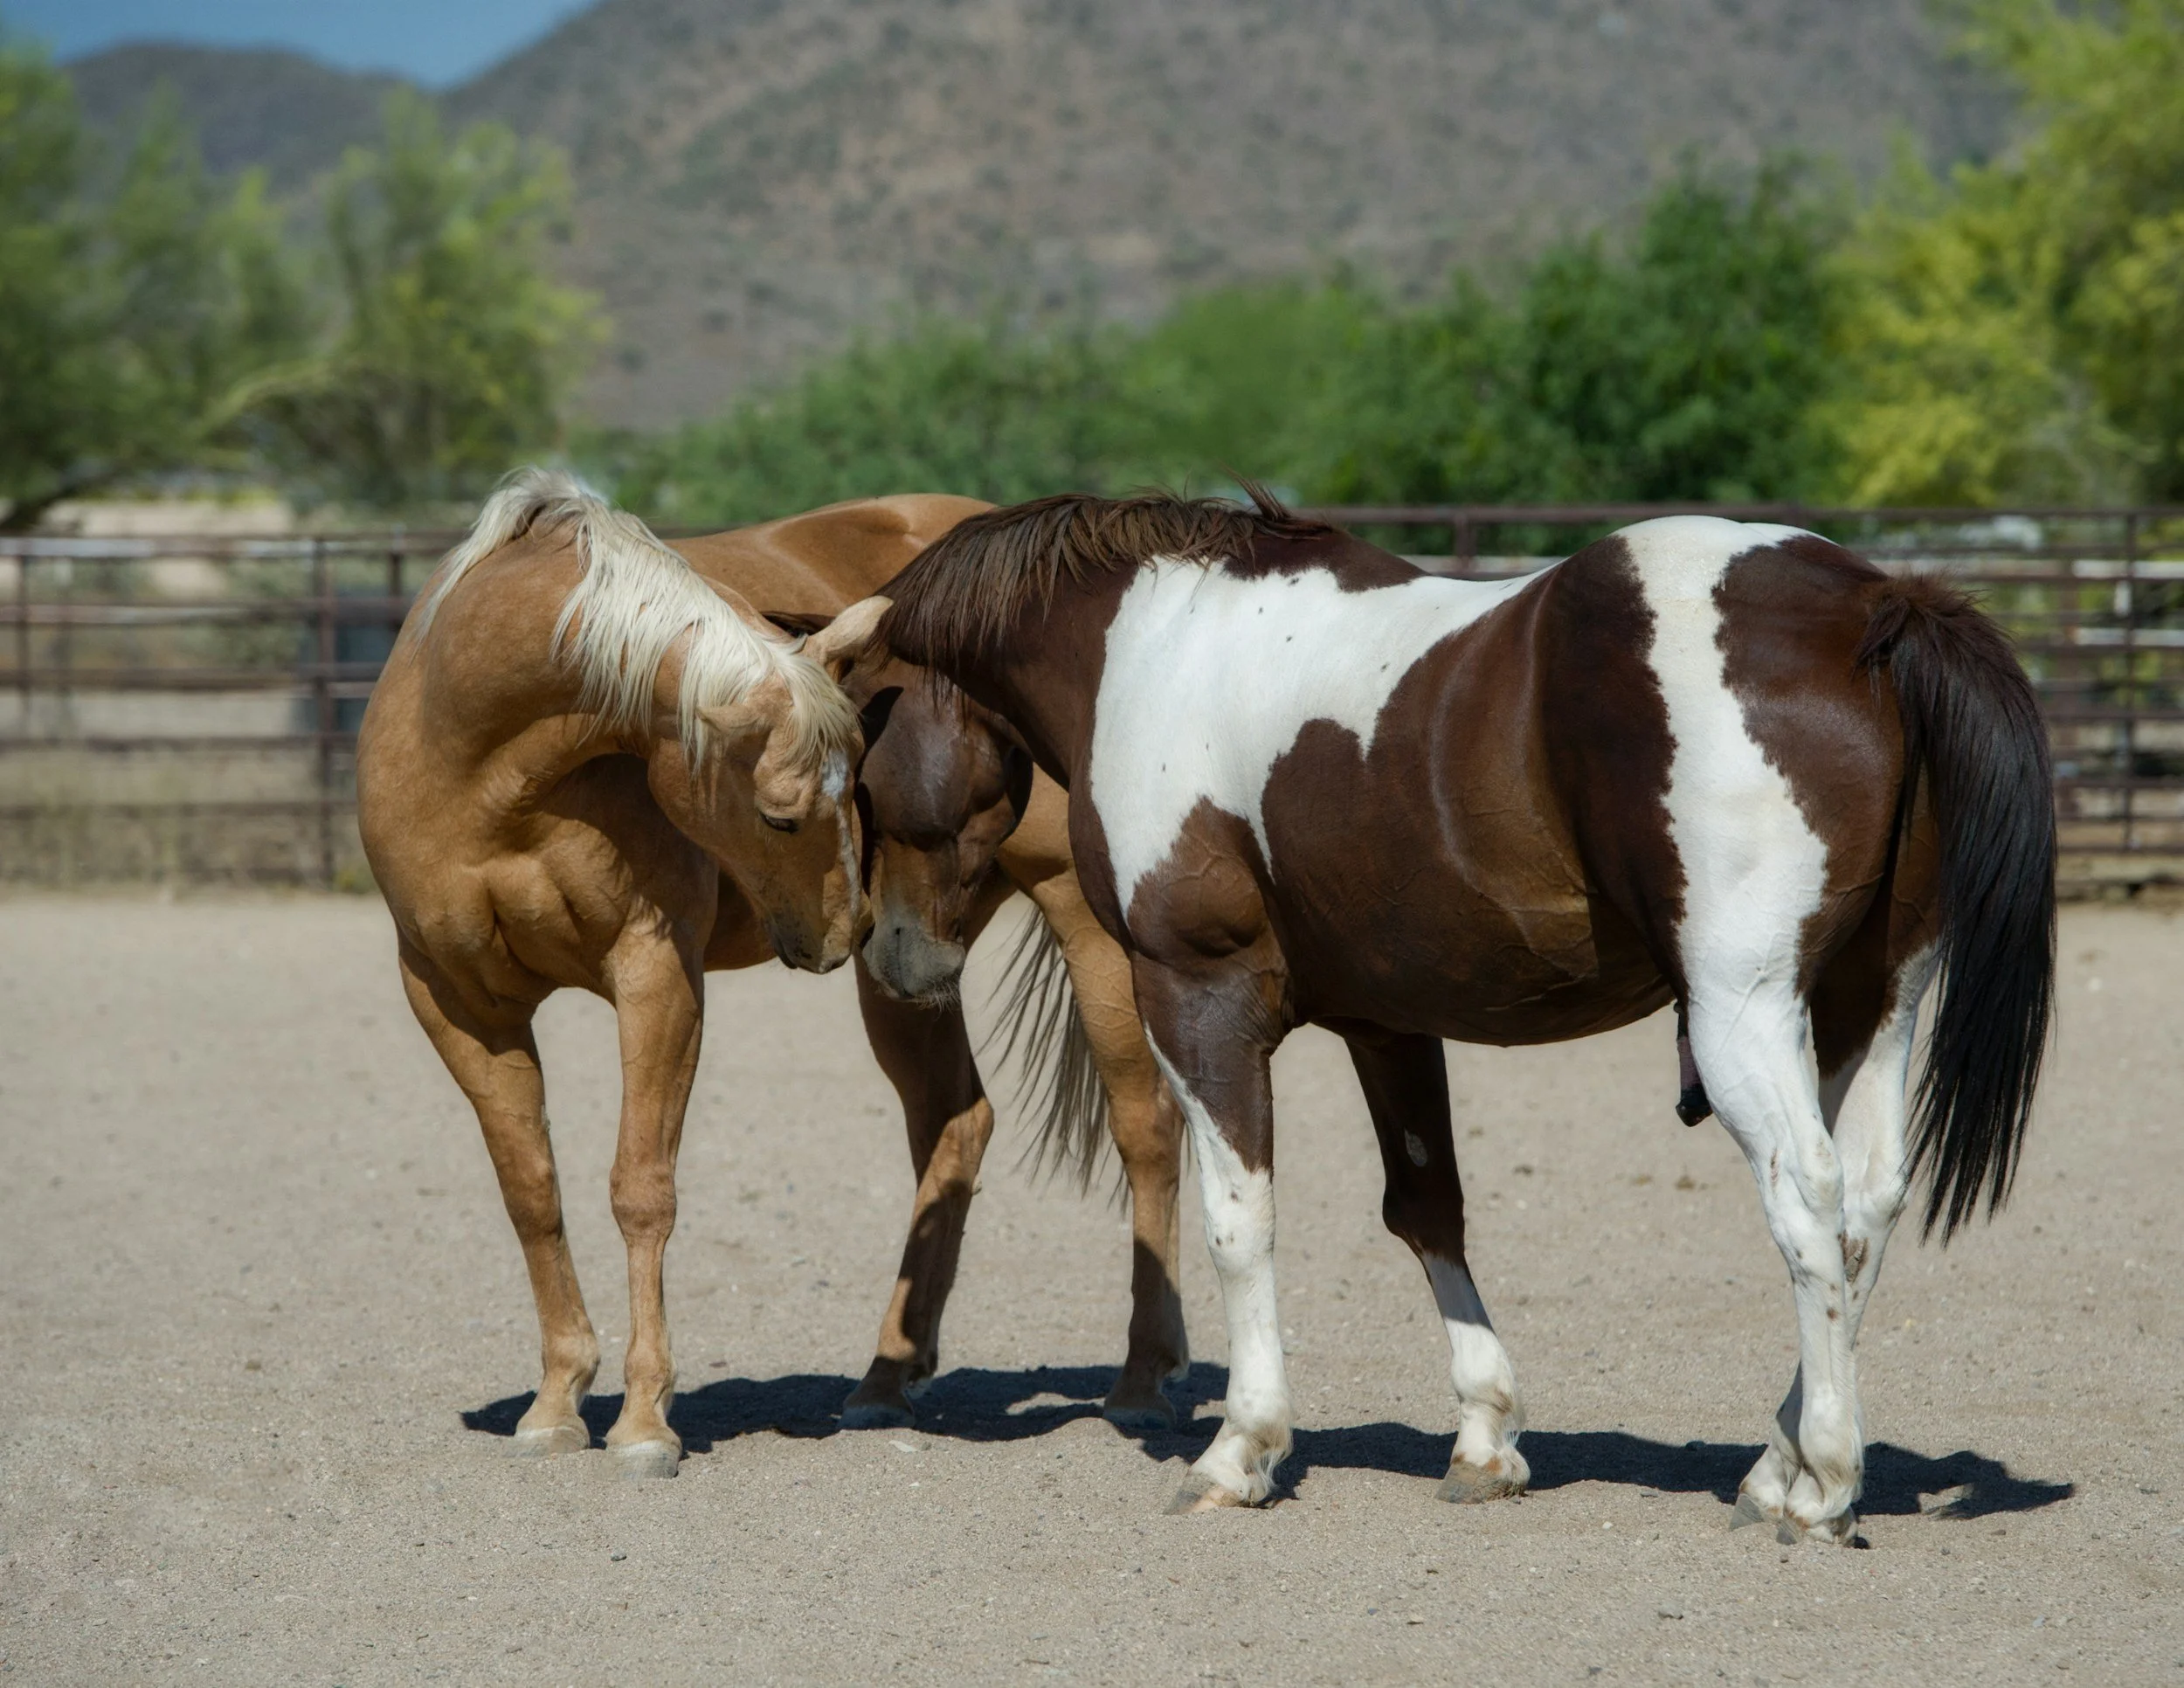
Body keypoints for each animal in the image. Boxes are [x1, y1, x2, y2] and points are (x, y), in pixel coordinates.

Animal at [357, 472, 1187, 1478]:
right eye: (782, 814)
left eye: (856, 779)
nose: (843, 927)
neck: (476, 760)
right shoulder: (457, 1002)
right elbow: (531, 1192)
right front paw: (557, 1402)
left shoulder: (657, 978)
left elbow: (641, 1190)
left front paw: (644, 1420)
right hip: (912, 965)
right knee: (954, 1124)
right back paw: (885, 1379)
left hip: (1075, 925)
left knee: (1146, 1125)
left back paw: (1142, 1380)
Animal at [856, 490, 2057, 1543]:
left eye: (859, 770)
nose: (894, 955)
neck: (1155, 642)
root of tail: (1873, 606)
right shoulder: (1388, 1022)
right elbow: (1428, 1211)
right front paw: (1484, 1437)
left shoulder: (1198, 995)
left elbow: (1241, 1224)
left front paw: (1242, 1449)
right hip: (1871, 1004)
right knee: (1866, 1208)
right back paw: (1776, 1465)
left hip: (1744, 1012)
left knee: (1807, 1203)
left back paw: (1823, 1486)